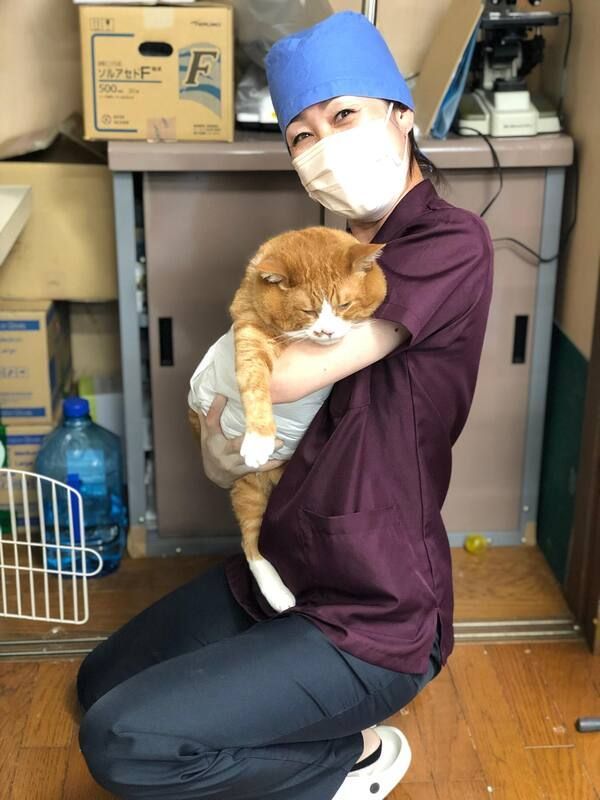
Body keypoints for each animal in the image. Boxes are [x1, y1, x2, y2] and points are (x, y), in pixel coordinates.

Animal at [189, 225, 390, 612]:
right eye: (308, 310)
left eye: (343, 305)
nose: (327, 332)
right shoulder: (248, 333)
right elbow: (254, 383)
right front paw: (259, 438)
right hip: (248, 489)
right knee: (250, 543)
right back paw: (279, 595)